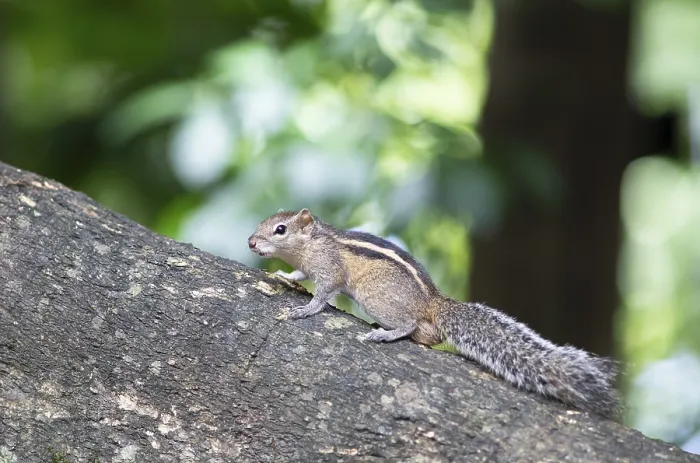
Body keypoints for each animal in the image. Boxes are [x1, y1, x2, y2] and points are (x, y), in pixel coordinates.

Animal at [248, 208, 621, 418]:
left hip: (375, 295)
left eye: (280, 229)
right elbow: (298, 275)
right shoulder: (307, 267)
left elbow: (323, 294)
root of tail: (435, 302)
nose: (251, 242)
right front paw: (282, 275)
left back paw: (384, 332)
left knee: (411, 325)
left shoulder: (329, 271)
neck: (311, 244)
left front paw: (305, 309)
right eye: (265, 222)